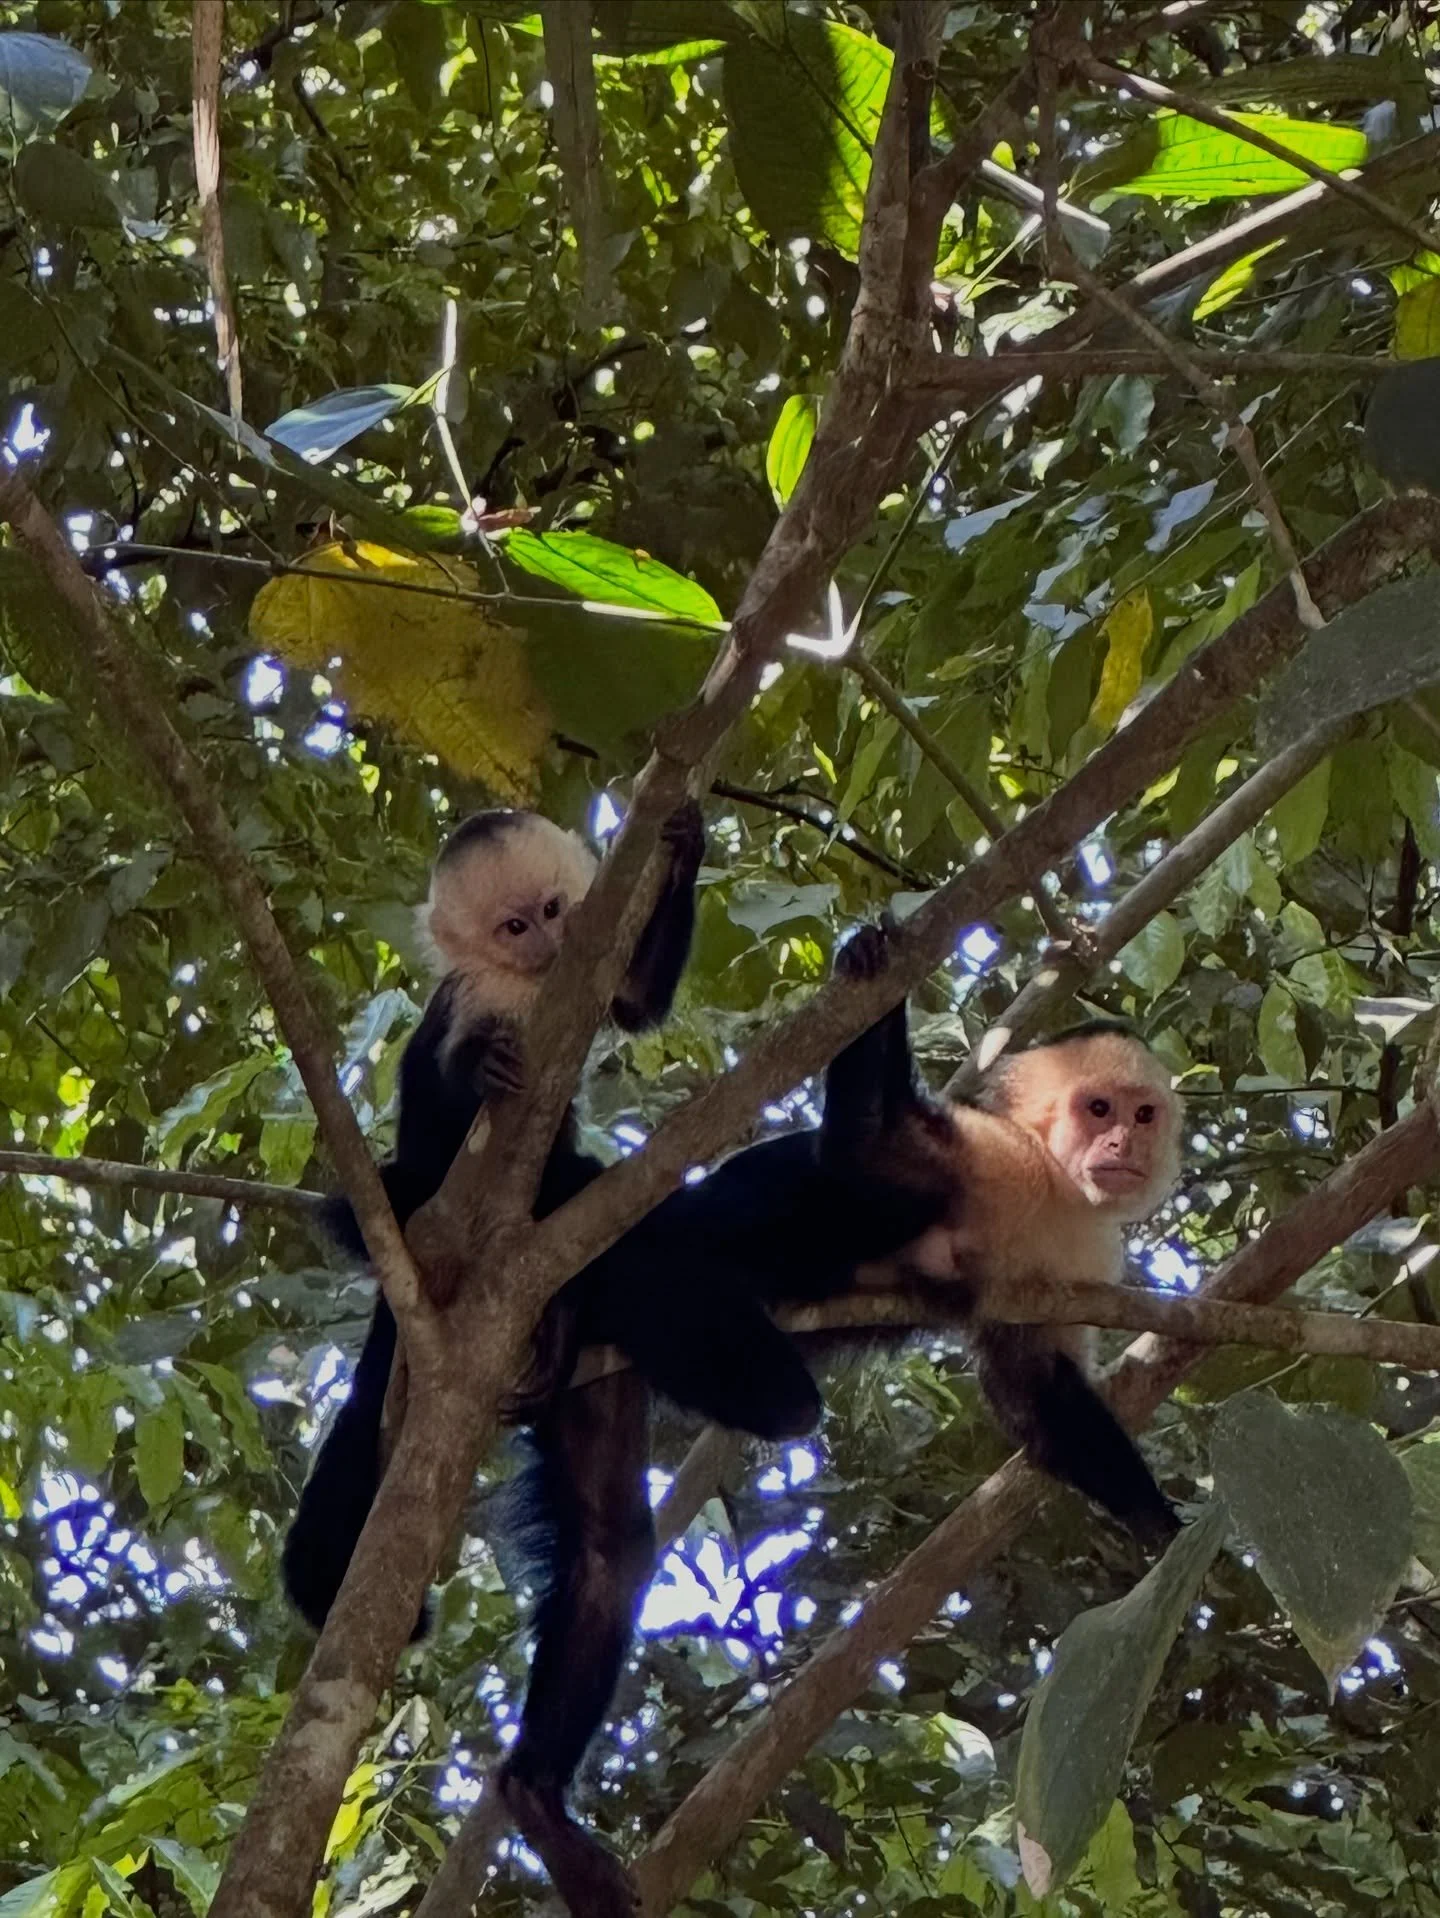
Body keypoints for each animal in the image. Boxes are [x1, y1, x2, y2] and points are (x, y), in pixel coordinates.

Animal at [279, 800, 705, 1641]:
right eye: (514, 927)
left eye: (554, 909)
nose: (547, 942)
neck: (532, 987)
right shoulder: (475, 994)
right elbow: (446, 1083)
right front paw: (481, 1069)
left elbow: (635, 1001)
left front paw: (683, 849)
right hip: (411, 1211)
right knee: (389, 1193)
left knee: (576, 1186)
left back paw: (561, 1322)